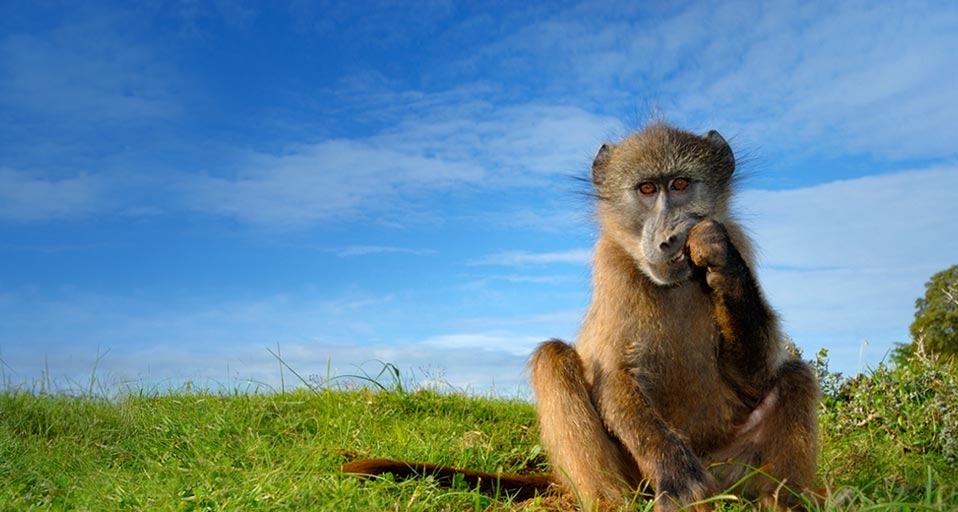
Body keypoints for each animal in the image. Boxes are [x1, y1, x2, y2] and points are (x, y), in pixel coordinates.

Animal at [342, 122, 820, 511]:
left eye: (682, 184)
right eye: (647, 190)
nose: (669, 238)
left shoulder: (741, 243)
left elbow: (753, 377)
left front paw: (718, 257)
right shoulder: (611, 268)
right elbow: (613, 378)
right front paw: (678, 479)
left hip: (729, 470)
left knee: (796, 376)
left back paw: (784, 503)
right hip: (632, 473)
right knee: (553, 359)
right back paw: (613, 503)